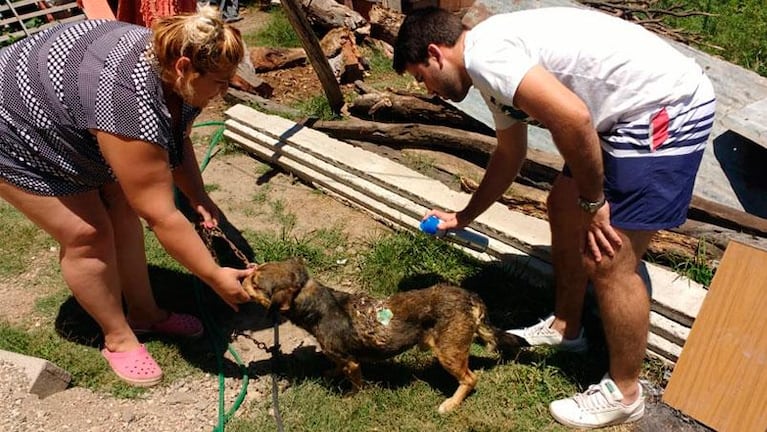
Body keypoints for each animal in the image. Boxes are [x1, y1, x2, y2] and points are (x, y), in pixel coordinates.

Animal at [243, 258, 524, 414]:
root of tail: (470, 297)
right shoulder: (341, 357)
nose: (242, 276)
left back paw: (450, 404)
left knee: (471, 379)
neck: (320, 305)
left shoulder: (353, 364)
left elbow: (355, 384)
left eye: (255, 283)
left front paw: (350, 398)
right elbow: (335, 365)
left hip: (449, 353)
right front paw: (331, 373)